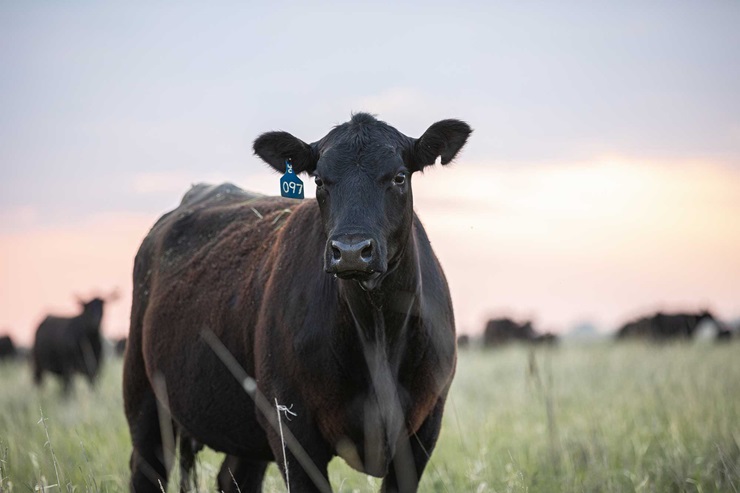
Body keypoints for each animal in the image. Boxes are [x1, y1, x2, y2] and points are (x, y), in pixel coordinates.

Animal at [123, 113, 472, 490]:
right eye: (319, 180)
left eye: (399, 177)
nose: (351, 250)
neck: (377, 337)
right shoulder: (290, 427)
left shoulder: (425, 426)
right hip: (144, 398)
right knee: (147, 469)